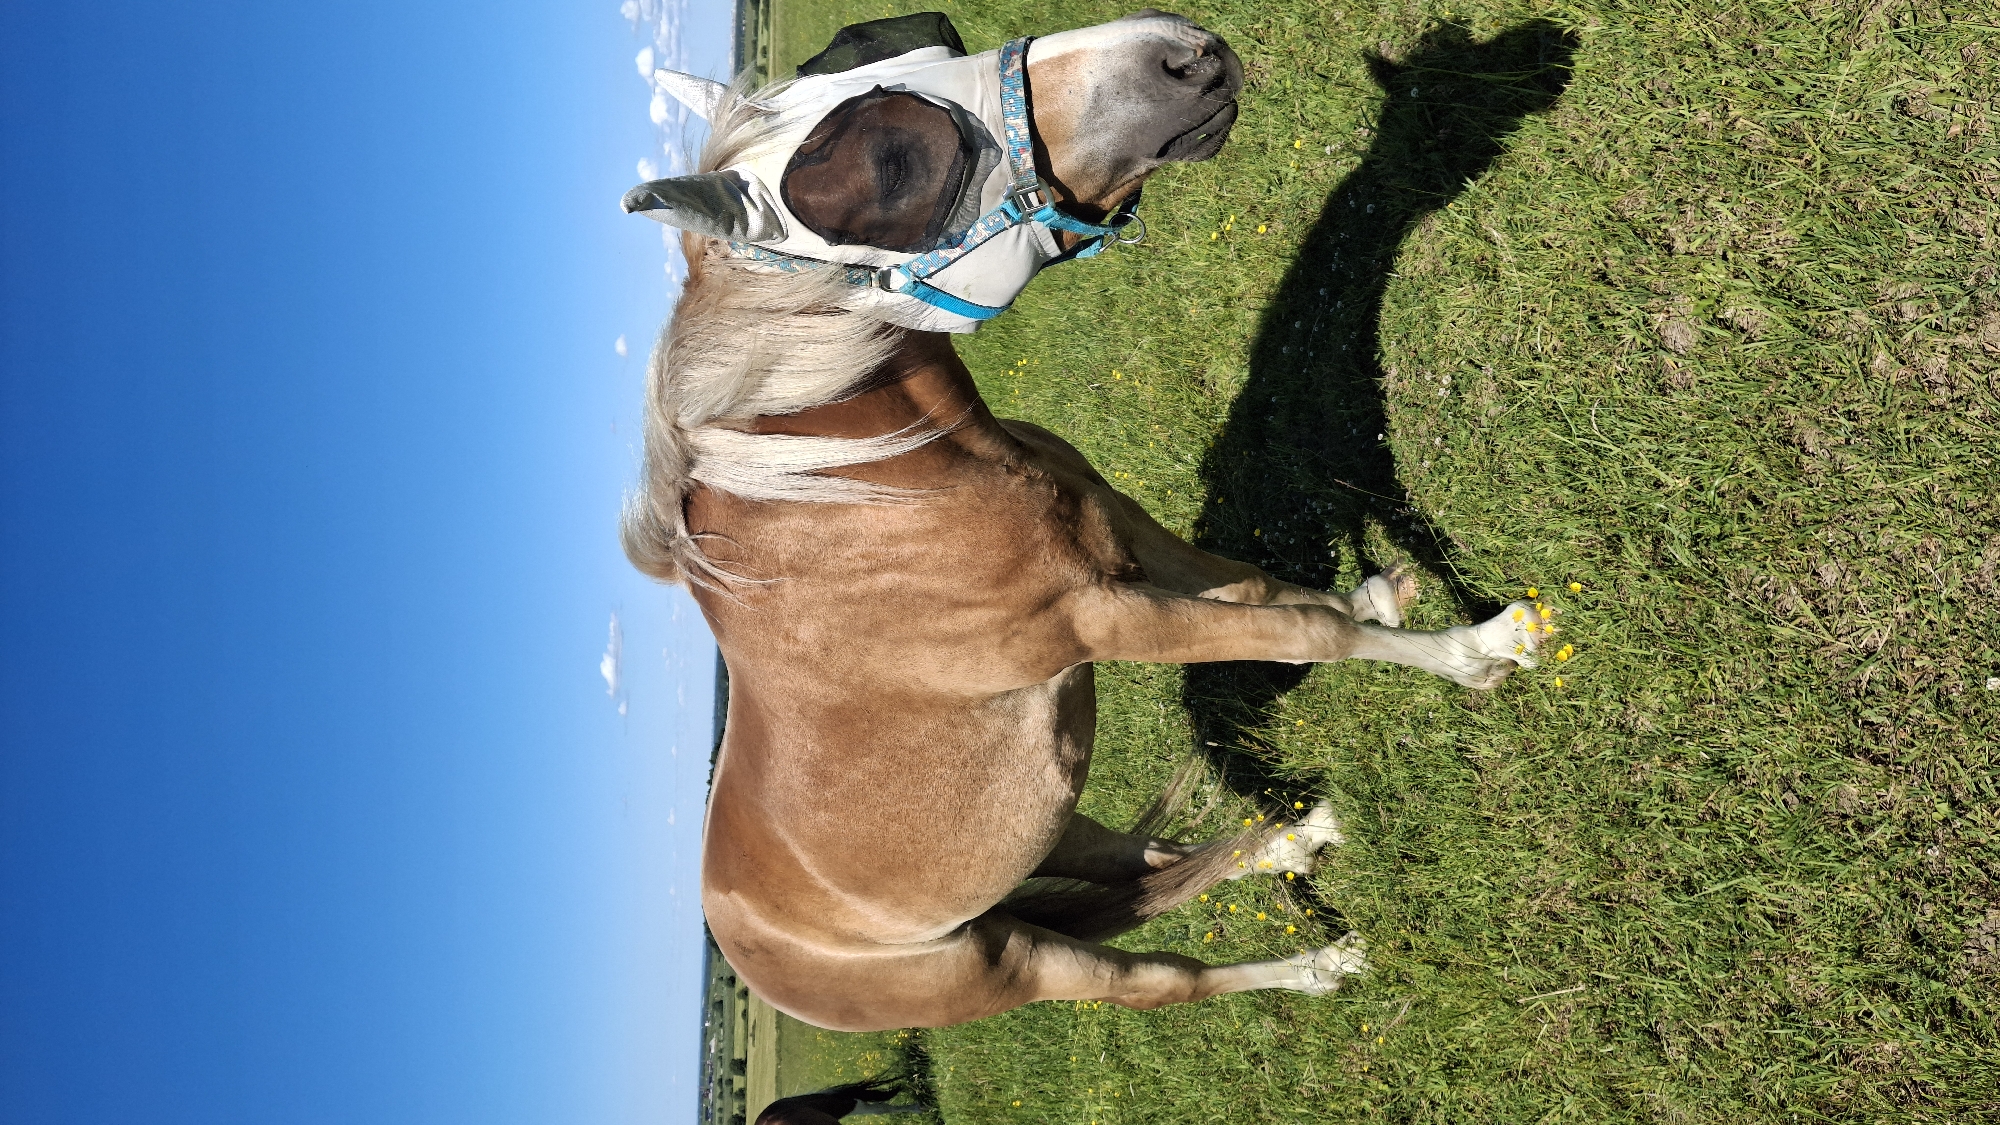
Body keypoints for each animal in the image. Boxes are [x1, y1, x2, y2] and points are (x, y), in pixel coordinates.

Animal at [620, 11, 1542, 1032]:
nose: (1181, 50)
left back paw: (1293, 841)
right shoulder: (1109, 619)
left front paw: (1382, 599)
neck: (873, 498)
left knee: (1138, 859)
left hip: (1049, 825)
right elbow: (1305, 632)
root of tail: (743, 940)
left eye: (926, 46)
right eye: (894, 170)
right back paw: (1316, 965)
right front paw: (1479, 649)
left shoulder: (1119, 526)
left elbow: (1266, 589)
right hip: (1011, 962)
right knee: (1160, 978)